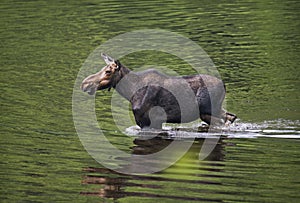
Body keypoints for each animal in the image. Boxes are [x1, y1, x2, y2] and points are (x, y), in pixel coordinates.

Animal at [81, 54, 236, 129]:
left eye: (108, 71)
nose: (84, 83)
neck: (130, 92)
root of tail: (224, 85)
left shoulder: (149, 121)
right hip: (214, 110)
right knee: (230, 117)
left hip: (207, 110)